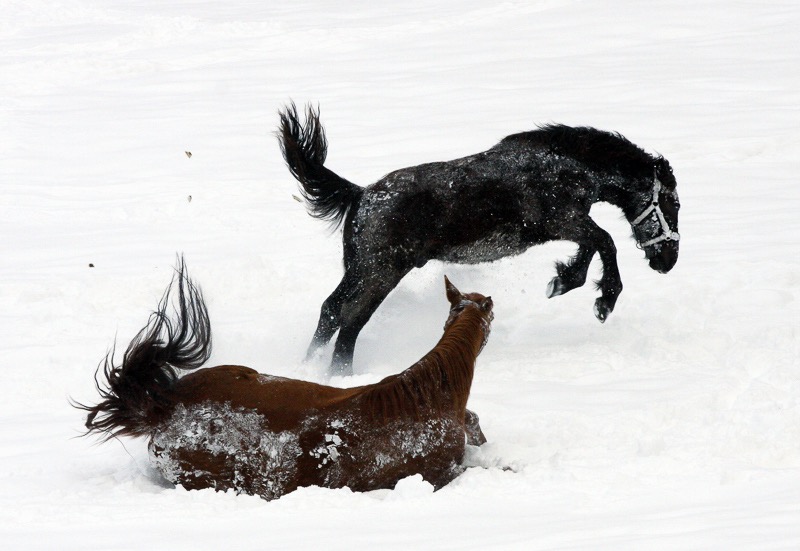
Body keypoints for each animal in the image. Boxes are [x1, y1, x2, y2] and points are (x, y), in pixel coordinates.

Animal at [278, 104, 680, 376]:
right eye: (673, 203)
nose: (667, 261)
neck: (566, 165)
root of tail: (360, 194)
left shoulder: (569, 226)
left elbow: (592, 247)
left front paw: (564, 279)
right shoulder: (563, 221)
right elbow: (605, 241)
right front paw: (599, 298)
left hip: (359, 269)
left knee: (331, 311)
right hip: (380, 273)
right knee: (350, 321)